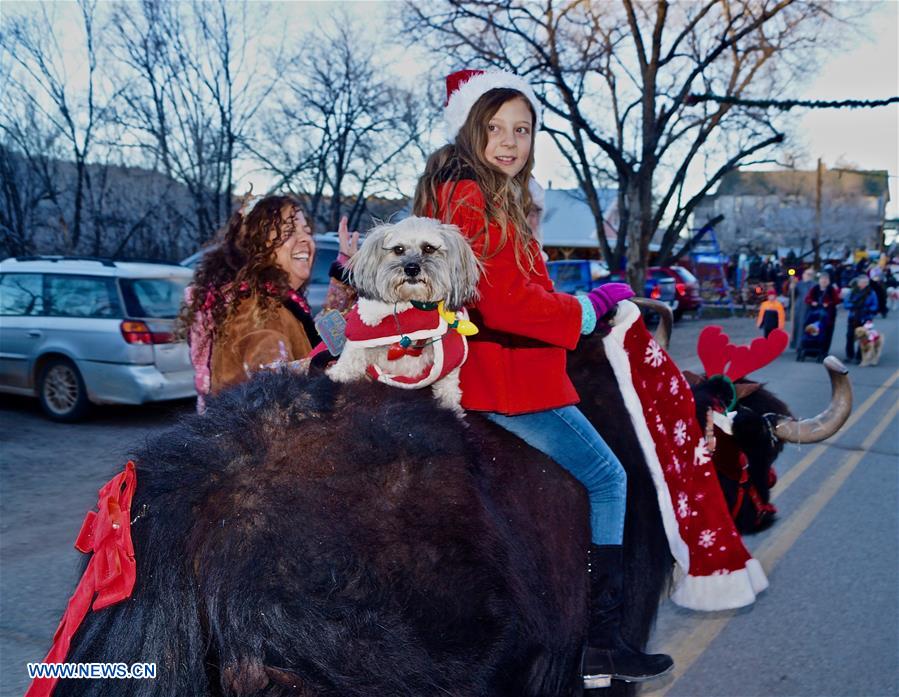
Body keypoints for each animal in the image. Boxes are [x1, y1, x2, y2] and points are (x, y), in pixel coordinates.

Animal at [326, 218, 482, 414]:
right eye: (398, 249)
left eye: (429, 248)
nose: (411, 268)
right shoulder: (361, 337)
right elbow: (352, 354)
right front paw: (339, 374)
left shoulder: (449, 360)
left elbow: (449, 385)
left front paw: (452, 408)